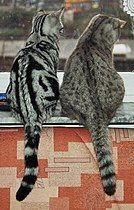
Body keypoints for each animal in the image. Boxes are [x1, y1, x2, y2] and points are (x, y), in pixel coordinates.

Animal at [6, 8, 64, 202]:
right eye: (61, 27)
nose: (63, 32)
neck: (39, 35)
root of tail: (30, 113)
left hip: (9, 95)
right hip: (53, 88)